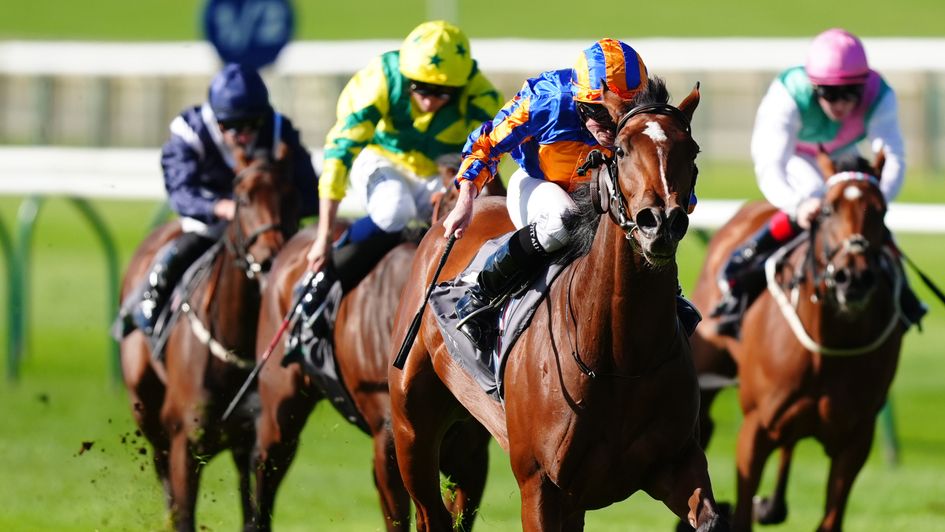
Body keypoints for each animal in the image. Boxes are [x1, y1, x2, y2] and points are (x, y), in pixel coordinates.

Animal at [120, 143, 298, 528]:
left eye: (292, 195)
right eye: (243, 198)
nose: (270, 258)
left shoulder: (265, 448)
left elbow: (256, 518)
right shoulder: (185, 443)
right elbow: (183, 514)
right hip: (147, 412)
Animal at [388, 80, 728, 532]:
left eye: (691, 150)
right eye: (621, 150)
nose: (660, 223)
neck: (621, 357)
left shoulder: (676, 464)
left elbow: (708, 516)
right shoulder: (540, 485)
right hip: (411, 426)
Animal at [688, 151, 904, 532]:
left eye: (881, 211)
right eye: (828, 209)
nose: (853, 278)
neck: (830, 342)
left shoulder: (856, 438)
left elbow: (831, 519)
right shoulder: (755, 427)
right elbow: (741, 514)